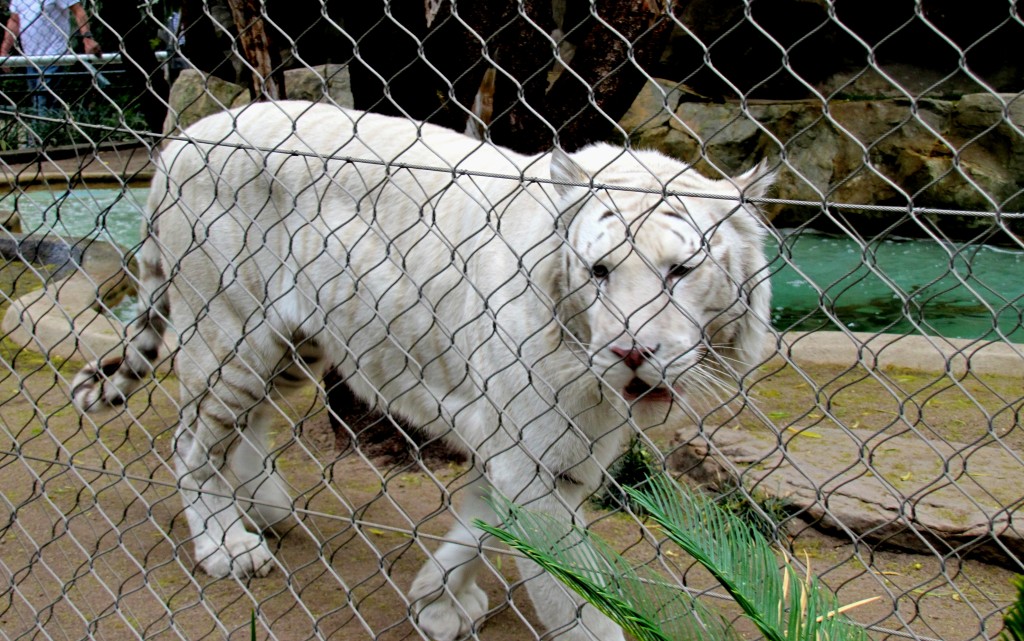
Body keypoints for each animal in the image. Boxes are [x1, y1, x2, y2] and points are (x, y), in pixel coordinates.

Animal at [72, 100, 770, 638]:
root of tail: (182, 139)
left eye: (680, 271)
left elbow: (482, 523)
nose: (631, 352)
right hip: (229, 333)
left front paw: (438, 600)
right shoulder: (535, 455)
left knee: (244, 430)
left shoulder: (542, 451)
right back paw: (228, 547)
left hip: (291, 346)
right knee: (192, 444)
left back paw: (264, 510)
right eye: (599, 272)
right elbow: (571, 595)